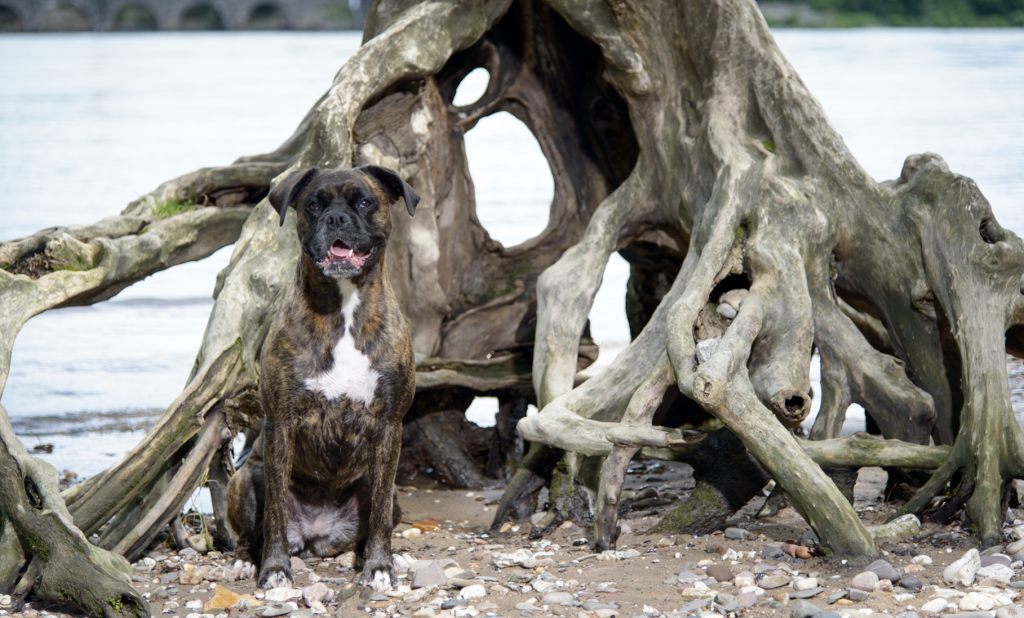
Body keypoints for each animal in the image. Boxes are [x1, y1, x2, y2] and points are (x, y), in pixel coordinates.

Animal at [228, 166, 419, 593]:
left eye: (364, 201)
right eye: (314, 205)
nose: (336, 219)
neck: (344, 309)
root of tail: (316, 534)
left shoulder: (390, 426)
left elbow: (380, 514)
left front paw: (380, 566)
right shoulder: (280, 425)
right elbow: (275, 513)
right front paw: (275, 569)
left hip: (392, 491)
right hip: (244, 478)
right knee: (252, 530)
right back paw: (246, 561)